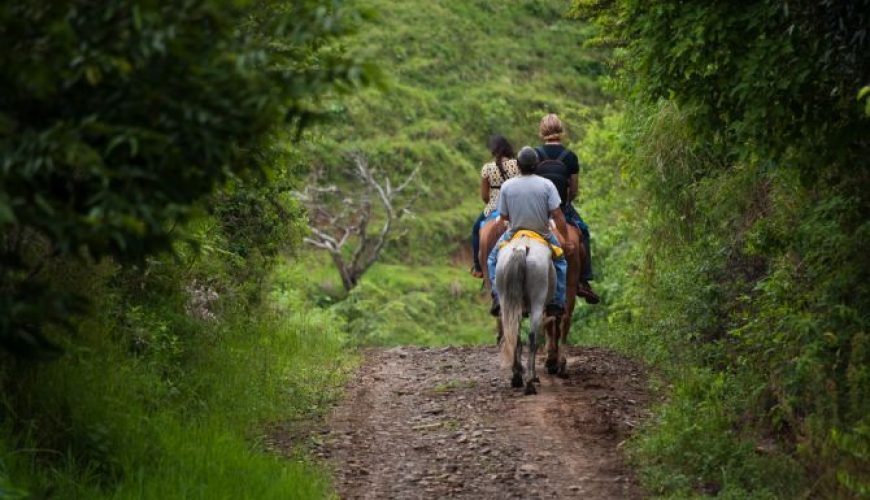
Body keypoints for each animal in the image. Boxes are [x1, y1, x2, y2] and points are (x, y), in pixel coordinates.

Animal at [494, 233, 556, 394]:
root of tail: (522, 247)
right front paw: (534, 376)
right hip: (538, 302)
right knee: (532, 339)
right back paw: (529, 383)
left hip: (506, 300)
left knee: (514, 335)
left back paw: (517, 377)